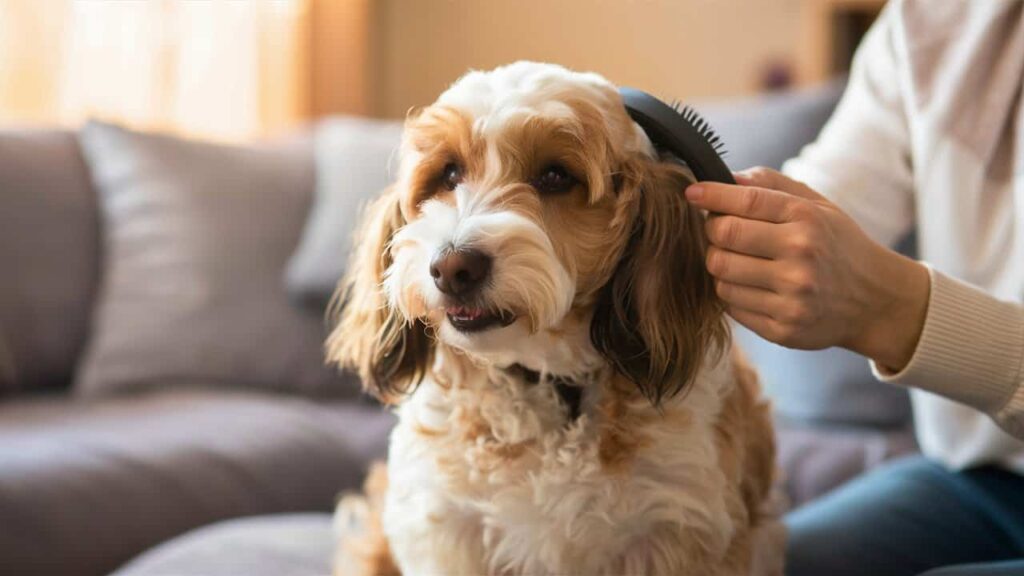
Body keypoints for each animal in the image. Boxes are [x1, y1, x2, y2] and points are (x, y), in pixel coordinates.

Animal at [327, 62, 782, 573]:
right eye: (449, 173)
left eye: (554, 176)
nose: (453, 267)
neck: (551, 381)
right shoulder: (446, 527)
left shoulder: (676, 527)